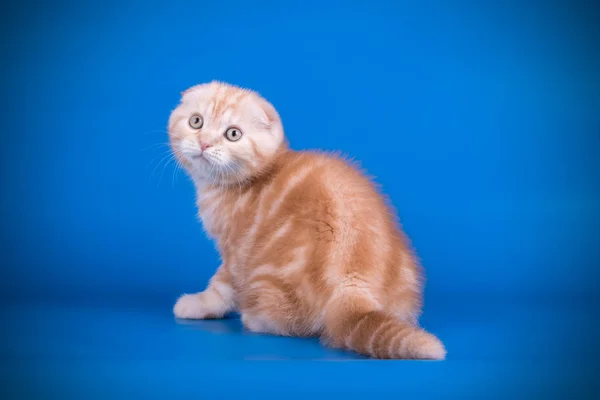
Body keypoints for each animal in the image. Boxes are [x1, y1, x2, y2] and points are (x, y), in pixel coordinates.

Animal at [168, 80, 446, 360]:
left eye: (233, 134)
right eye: (196, 121)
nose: (204, 143)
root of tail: (353, 281)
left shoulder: (236, 249)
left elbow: (221, 285)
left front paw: (196, 304)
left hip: (268, 274)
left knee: (290, 323)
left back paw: (254, 318)